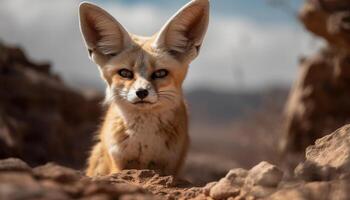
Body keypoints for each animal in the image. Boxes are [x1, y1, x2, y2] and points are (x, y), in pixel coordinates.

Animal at [79, 0, 209, 176]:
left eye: (160, 73)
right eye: (125, 73)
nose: (141, 92)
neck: (144, 140)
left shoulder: (170, 165)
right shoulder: (118, 163)